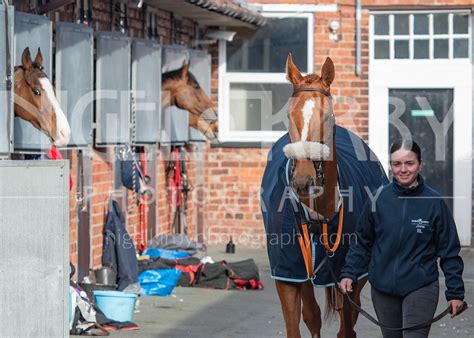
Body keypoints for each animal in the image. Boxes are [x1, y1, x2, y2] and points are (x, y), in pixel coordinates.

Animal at [262, 52, 386, 338]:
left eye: (327, 116)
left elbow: (347, 328)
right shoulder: (289, 275)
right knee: (313, 315)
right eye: (289, 114)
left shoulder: (350, 277)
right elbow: (302, 321)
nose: (303, 180)